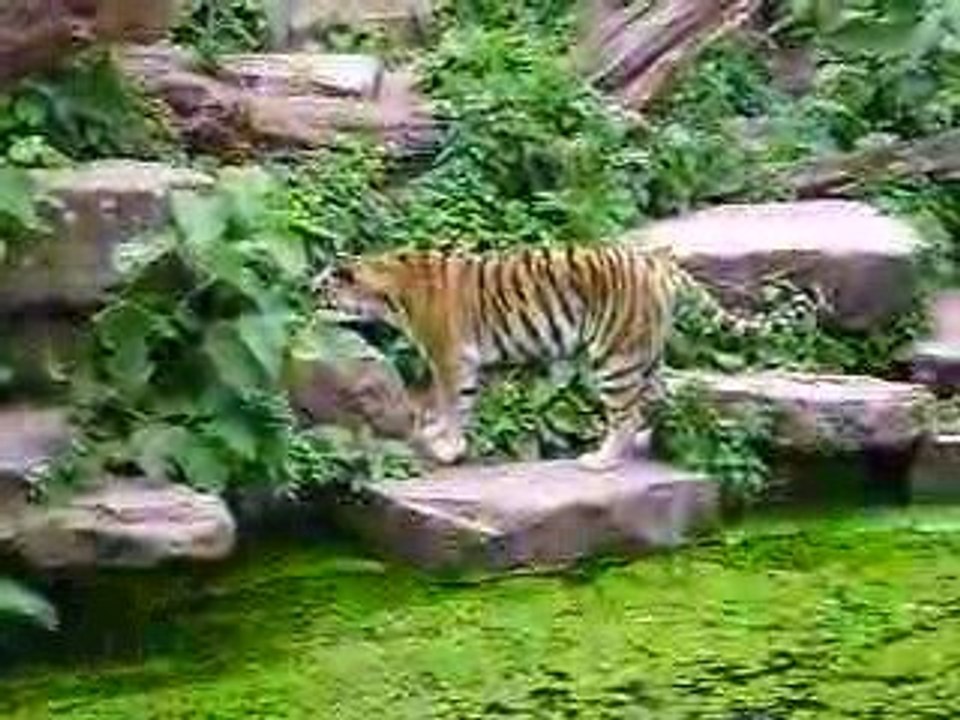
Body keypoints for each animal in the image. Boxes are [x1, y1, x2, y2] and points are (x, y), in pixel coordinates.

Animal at [310, 240, 824, 471]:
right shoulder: (474, 364)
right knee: (655, 398)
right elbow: (461, 404)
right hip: (643, 353)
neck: (389, 291)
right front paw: (443, 436)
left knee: (626, 412)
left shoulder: (450, 357)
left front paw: (445, 446)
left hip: (614, 358)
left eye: (320, 290)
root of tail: (659, 261)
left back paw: (601, 459)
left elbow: (451, 401)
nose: (303, 301)